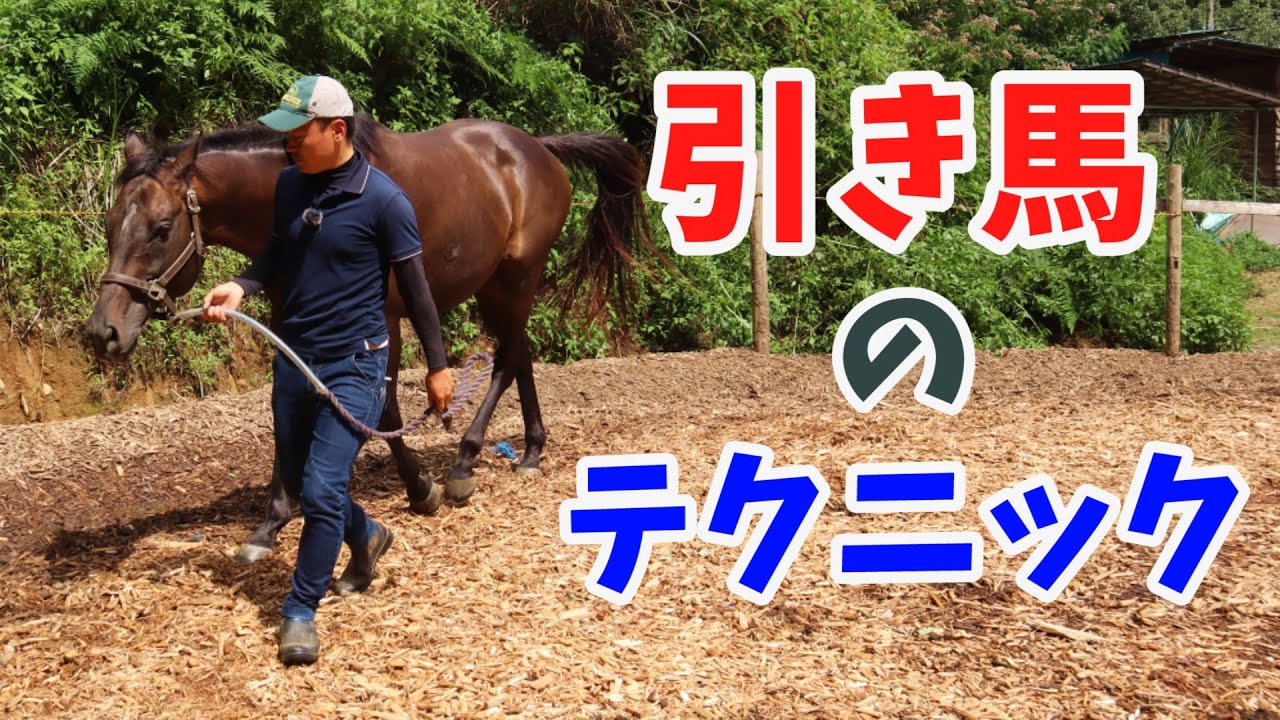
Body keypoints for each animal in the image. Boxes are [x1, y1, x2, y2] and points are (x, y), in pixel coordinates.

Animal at [86, 113, 653, 564]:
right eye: (110, 223)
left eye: (162, 228)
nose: (101, 333)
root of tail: (537, 147)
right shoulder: (293, 326)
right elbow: (286, 410)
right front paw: (271, 522)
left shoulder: (382, 321)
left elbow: (384, 408)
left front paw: (420, 486)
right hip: (496, 283)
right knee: (521, 355)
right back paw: (530, 451)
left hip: (518, 276)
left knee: (509, 357)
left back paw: (464, 462)